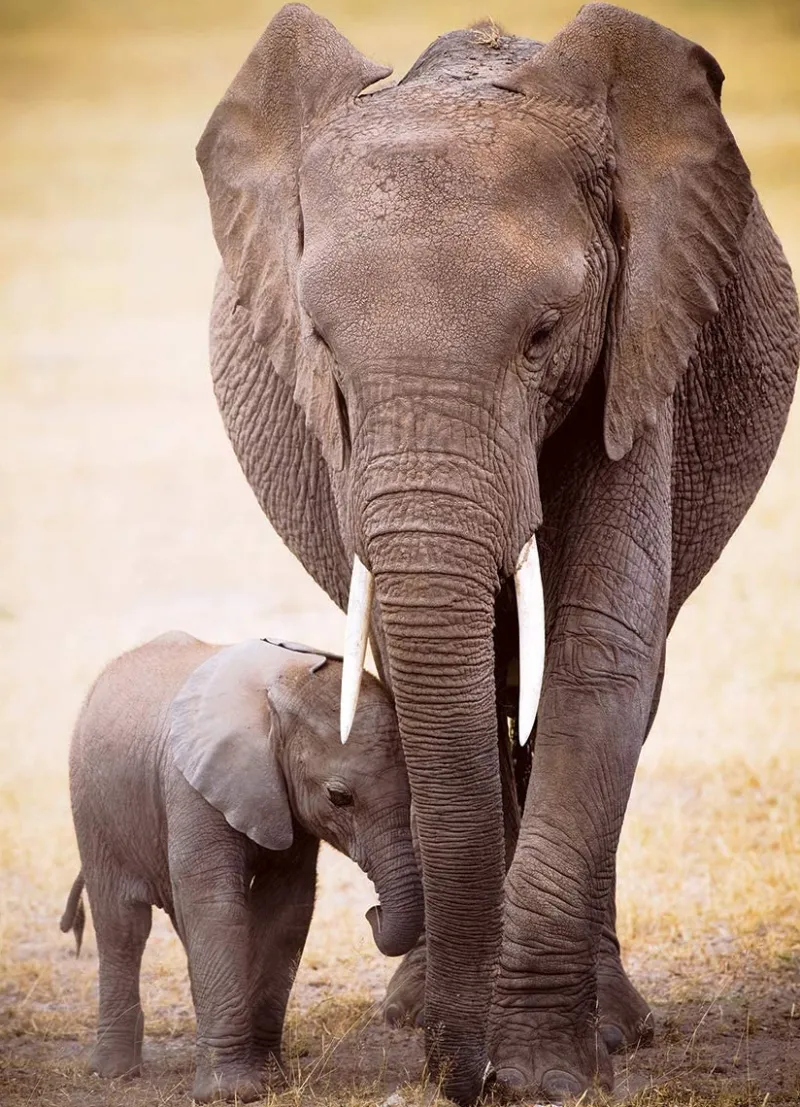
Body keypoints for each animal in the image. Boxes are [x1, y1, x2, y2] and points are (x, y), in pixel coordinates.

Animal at [61, 631, 422, 1103]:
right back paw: (115, 1073)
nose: (372, 912)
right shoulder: (190, 786)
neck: (277, 693)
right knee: (122, 924)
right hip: (92, 807)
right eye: (339, 797)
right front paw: (230, 1093)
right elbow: (216, 906)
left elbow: (286, 910)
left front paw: (271, 1079)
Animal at [195, 4, 800, 1103]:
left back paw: (615, 1027)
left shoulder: (640, 340)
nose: (457, 1075)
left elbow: (600, 647)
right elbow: (441, 662)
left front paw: (543, 1075)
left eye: (543, 335)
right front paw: (478, 1044)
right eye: (320, 342)